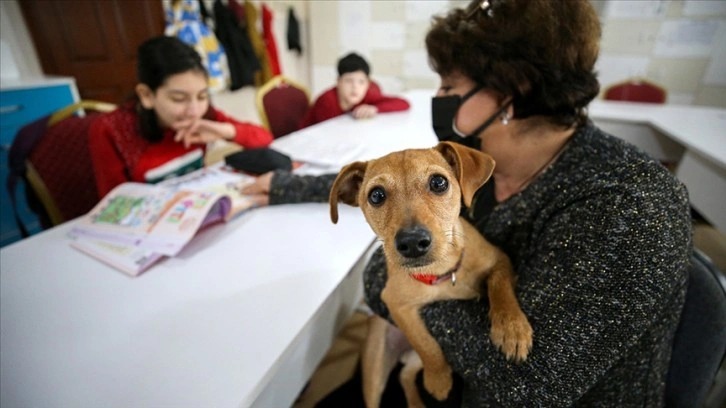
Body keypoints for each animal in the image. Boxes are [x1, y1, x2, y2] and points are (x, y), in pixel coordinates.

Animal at [330, 142, 536, 406]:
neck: (442, 273)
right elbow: (424, 342)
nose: (412, 242)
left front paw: (512, 328)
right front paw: (438, 379)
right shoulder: (395, 303)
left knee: (405, 375)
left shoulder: (500, 259)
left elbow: (499, 285)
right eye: (376, 195)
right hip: (376, 365)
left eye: (439, 182)